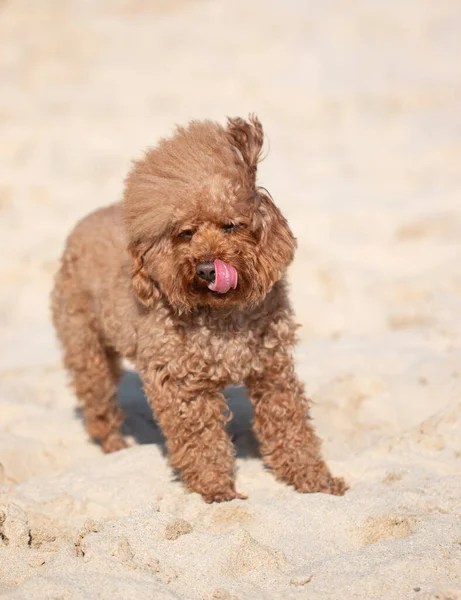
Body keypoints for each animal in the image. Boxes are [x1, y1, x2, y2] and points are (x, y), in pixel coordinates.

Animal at [51, 116, 344, 502]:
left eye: (230, 225)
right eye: (185, 233)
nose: (206, 269)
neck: (223, 313)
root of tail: (84, 222)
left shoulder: (273, 370)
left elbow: (291, 426)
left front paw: (316, 481)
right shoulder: (180, 384)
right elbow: (201, 441)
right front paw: (217, 490)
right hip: (85, 345)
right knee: (98, 401)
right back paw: (114, 446)